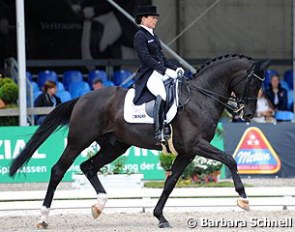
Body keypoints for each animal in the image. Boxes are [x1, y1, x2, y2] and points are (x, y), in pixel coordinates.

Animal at [9, 54, 270, 228]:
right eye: (254, 83)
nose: (248, 115)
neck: (201, 97)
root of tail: (83, 98)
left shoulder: (187, 152)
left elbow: (170, 182)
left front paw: (160, 217)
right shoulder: (196, 145)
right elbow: (230, 159)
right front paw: (244, 199)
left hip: (114, 146)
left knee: (88, 167)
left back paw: (99, 206)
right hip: (78, 142)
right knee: (58, 170)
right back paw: (43, 218)